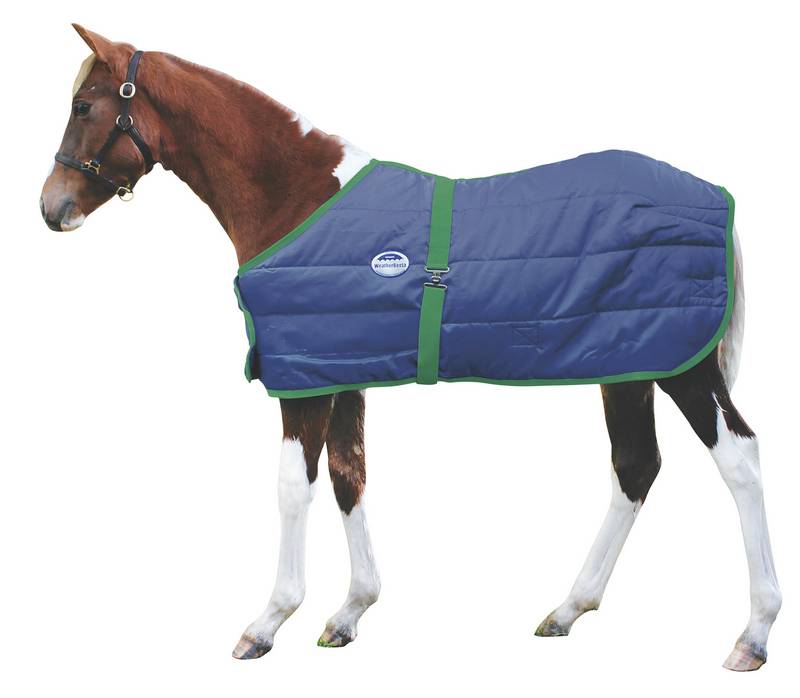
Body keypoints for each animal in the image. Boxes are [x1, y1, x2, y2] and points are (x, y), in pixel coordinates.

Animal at [40, 24, 781, 671]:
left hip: (685, 368)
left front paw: (269, 621)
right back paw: (568, 609)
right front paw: (348, 614)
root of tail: (715, 197)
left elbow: (294, 487)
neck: (298, 199)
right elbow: (350, 477)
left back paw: (753, 634)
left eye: (83, 105)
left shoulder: (303, 380)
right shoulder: (339, 371)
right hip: (628, 363)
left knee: (738, 459)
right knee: (635, 466)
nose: (51, 207)